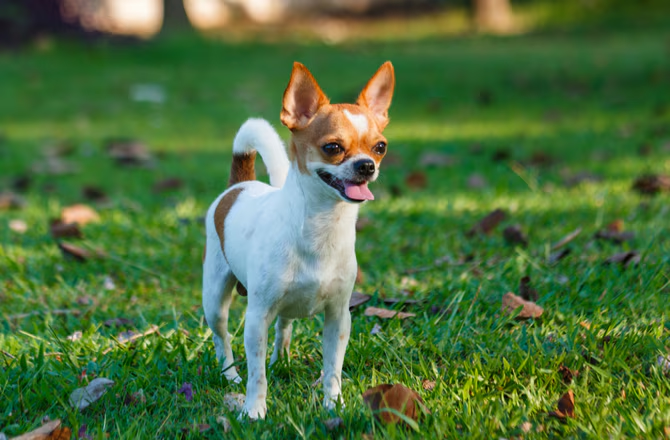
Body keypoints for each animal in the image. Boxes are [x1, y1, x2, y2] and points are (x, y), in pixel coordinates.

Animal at [202, 60, 396, 418]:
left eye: (380, 147)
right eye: (333, 147)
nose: (367, 165)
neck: (322, 226)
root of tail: (240, 184)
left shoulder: (338, 317)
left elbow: (332, 367)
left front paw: (334, 405)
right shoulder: (256, 318)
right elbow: (257, 374)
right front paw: (254, 411)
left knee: (284, 328)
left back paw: (282, 361)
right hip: (215, 299)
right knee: (223, 339)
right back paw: (231, 375)